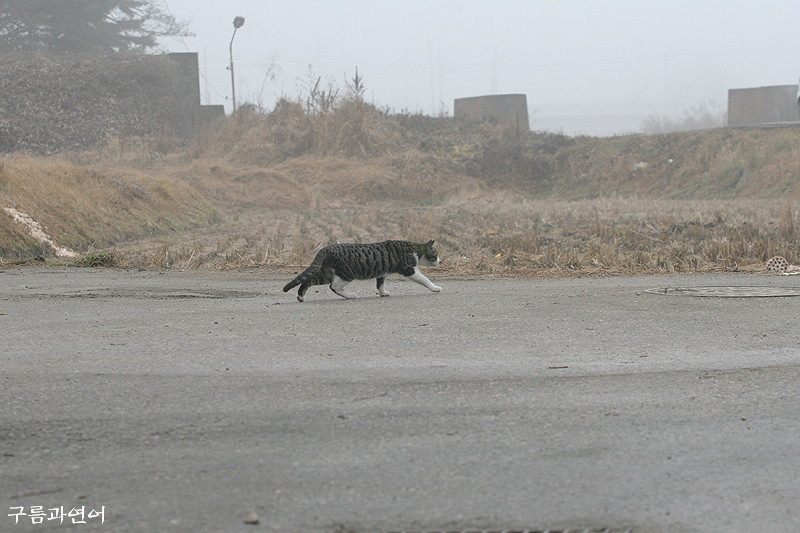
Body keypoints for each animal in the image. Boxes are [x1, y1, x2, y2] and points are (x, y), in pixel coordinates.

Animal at [282, 239, 444, 302]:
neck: (415, 250)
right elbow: (424, 279)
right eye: (435, 255)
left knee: (308, 280)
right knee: (334, 286)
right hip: (347, 273)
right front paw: (435, 288)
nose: (440, 261)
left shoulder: (382, 273)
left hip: (327, 273)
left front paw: (383, 293)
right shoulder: (409, 269)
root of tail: (327, 248)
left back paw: (301, 297)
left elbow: (380, 284)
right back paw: (349, 295)